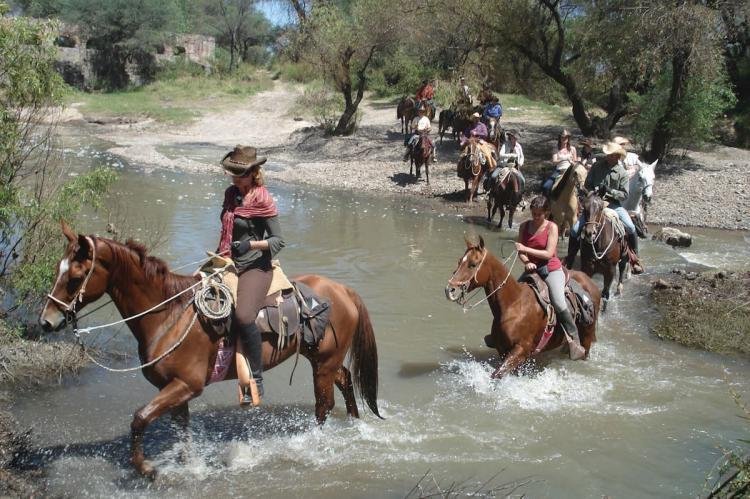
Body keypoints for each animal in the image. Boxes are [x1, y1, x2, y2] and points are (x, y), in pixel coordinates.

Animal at [39, 225, 382, 478]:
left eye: (75, 277)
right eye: (58, 269)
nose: (46, 321)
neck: (169, 315)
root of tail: (343, 290)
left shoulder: (187, 385)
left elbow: (139, 419)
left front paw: (146, 468)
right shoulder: (175, 390)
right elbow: (182, 431)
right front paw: (190, 466)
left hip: (322, 363)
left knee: (323, 404)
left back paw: (310, 445)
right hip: (322, 359)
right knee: (345, 380)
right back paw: (355, 425)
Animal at [446, 235, 600, 378]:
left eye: (472, 264)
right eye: (459, 261)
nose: (450, 290)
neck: (513, 305)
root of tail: (591, 283)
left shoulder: (521, 350)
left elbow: (497, 374)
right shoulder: (503, 350)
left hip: (586, 337)